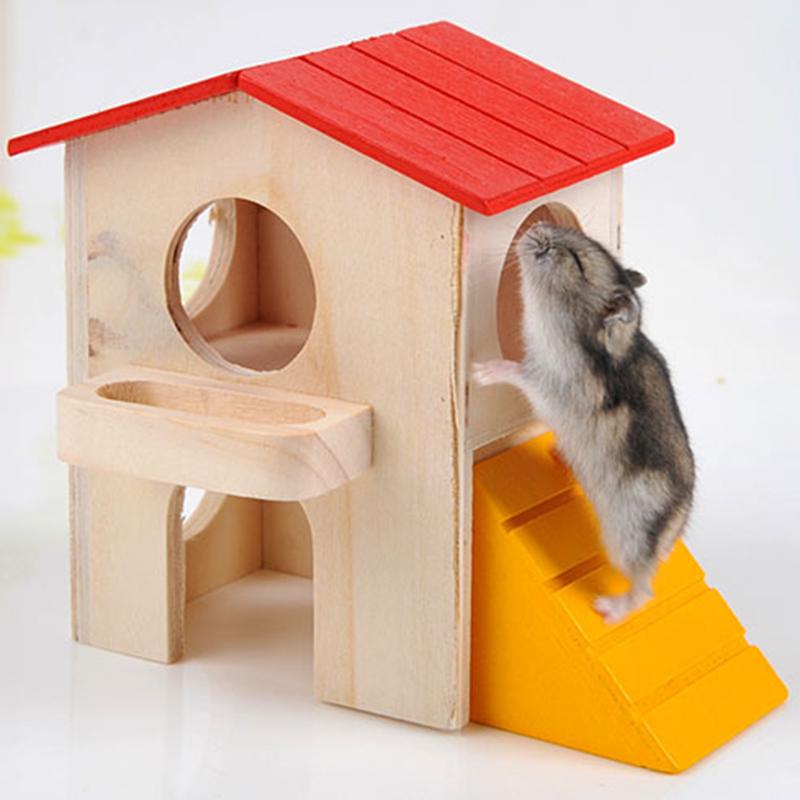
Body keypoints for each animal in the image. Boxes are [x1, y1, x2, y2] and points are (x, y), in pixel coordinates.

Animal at [473, 222, 695, 623]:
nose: (536, 224)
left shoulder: (551, 384)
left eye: (576, 259)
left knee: (644, 590)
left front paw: (479, 372)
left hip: (627, 538)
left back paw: (607, 609)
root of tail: (677, 522)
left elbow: (518, 372)